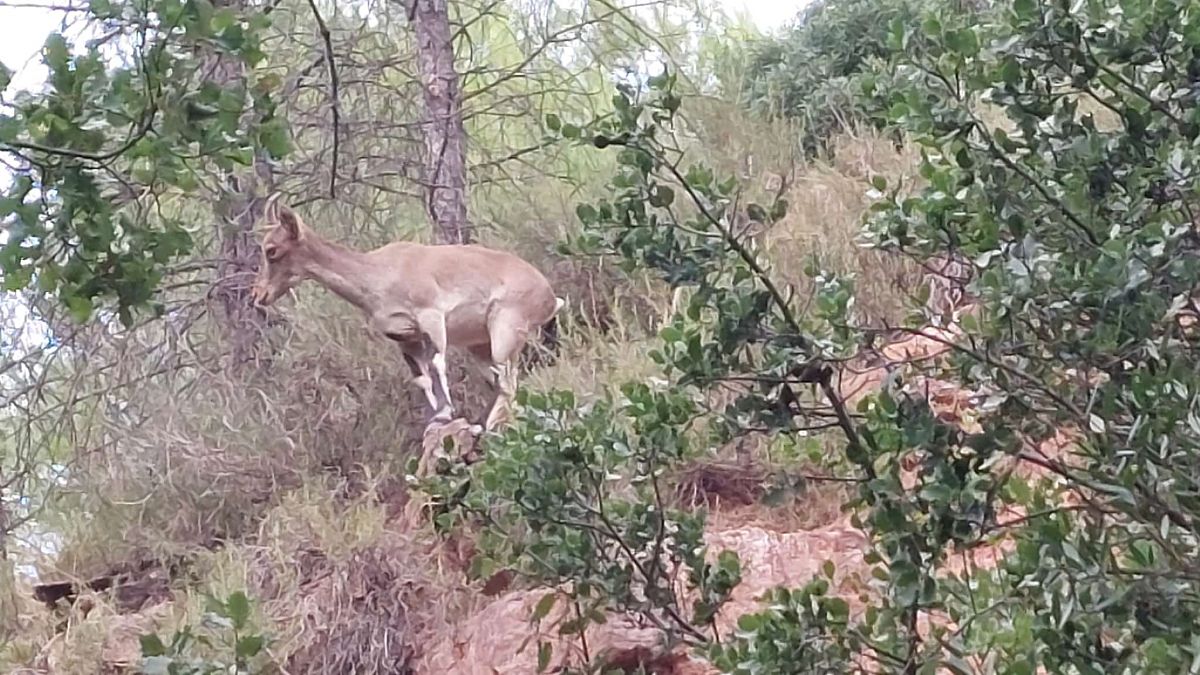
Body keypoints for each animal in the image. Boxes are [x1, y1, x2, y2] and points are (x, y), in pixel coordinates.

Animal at [249, 195, 565, 433]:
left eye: (271, 250)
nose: (258, 295)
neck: (379, 274)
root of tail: (550, 297)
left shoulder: (431, 318)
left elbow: (437, 363)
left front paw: (445, 413)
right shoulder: (404, 337)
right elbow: (421, 377)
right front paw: (435, 419)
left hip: (506, 329)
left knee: (509, 381)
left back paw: (489, 426)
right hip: (480, 345)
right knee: (503, 382)